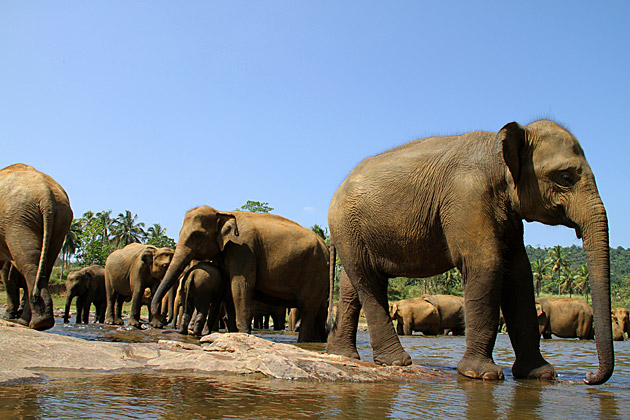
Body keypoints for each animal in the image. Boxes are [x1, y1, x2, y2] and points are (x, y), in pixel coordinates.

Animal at [0, 164, 73, 332]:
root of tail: (47, 196)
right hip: (61, 221)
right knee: (44, 265)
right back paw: (32, 322)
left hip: (18, 219)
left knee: (30, 264)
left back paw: (31, 322)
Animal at [151, 205, 334, 342]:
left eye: (197, 235)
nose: (160, 321)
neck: (222, 212)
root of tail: (325, 245)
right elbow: (228, 290)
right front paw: (234, 334)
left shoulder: (243, 249)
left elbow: (240, 285)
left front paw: (244, 333)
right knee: (319, 309)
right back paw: (319, 341)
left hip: (315, 270)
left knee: (308, 306)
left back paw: (304, 341)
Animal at [328, 120, 616, 386]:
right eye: (565, 177)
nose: (588, 377)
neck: (499, 148)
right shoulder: (467, 197)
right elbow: (486, 264)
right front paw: (482, 374)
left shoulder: (507, 215)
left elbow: (519, 274)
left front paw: (541, 375)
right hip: (347, 226)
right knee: (369, 281)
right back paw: (396, 361)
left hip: (351, 233)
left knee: (351, 285)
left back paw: (345, 357)